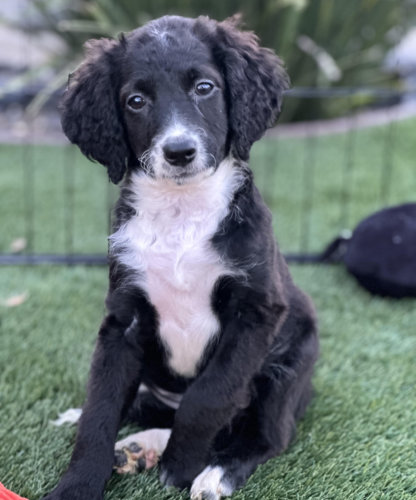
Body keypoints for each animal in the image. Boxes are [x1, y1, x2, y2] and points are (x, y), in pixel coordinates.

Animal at [44, 14, 318, 500]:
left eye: (204, 88)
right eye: (135, 101)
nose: (179, 152)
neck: (181, 212)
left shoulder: (256, 313)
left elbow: (208, 396)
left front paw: (183, 465)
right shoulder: (124, 320)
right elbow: (101, 406)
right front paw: (77, 485)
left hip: (289, 365)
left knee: (264, 433)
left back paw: (213, 473)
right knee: (151, 408)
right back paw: (134, 445)